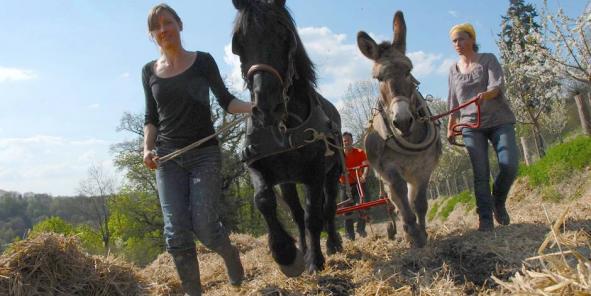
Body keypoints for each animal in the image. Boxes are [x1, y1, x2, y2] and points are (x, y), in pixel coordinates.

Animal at [231, 0, 342, 276]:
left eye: (284, 36)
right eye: (239, 43)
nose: (267, 107)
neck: (283, 127)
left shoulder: (315, 172)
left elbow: (314, 215)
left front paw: (315, 260)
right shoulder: (255, 164)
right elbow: (263, 200)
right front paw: (286, 253)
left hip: (332, 174)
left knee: (328, 208)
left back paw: (333, 244)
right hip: (288, 182)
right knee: (296, 212)